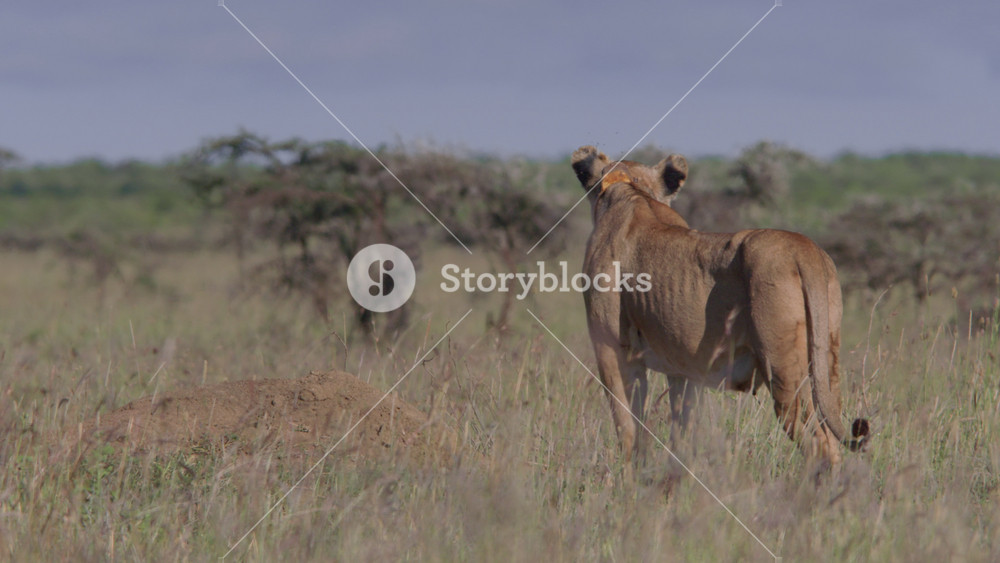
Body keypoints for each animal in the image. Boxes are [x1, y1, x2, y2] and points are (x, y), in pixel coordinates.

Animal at [571, 145, 868, 468]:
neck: (631, 188)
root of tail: (804, 248)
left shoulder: (612, 350)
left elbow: (629, 427)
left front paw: (631, 477)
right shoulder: (683, 366)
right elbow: (682, 429)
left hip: (783, 371)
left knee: (820, 443)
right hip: (827, 361)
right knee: (831, 430)